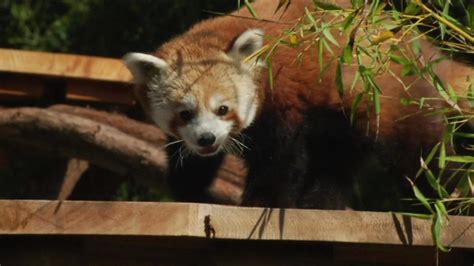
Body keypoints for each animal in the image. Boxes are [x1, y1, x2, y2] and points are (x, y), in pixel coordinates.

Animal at [124, 0, 472, 210]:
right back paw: (321, 202)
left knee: (420, 156)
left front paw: (262, 202)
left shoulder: (282, 100)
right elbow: (190, 160)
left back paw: (447, 201)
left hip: (388, 99)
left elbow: (281, 159)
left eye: (223, 109)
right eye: (185, 113)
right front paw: (188, 190)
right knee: (336, 162)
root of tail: (417, 46)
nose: (207, 138)